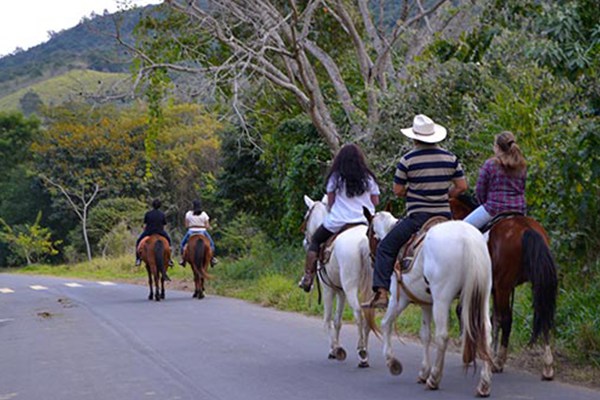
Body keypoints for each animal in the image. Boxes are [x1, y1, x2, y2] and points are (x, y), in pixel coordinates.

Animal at [304, 195, 376, 368]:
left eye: (306, 217)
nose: (305, 241)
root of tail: (363, 242)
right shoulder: (340, 290)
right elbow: (337, 320)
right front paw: (336, 348)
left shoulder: (328, 289)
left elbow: (328, 319)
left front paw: (335, 350)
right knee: (368, 316)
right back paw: (365, 355)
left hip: (350, 287)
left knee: (358, 313)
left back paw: (362, 352)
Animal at [368, 211, 494, 396]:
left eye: (368, 234)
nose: (371, 259)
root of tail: (468, 238)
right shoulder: (426, 304)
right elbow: (425, 335)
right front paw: (423, 372)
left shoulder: (400, 299)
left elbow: (386, 324)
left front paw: (393, 363)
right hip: (482, 295)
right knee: (486, 332)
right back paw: (484, 384)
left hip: (442, 298)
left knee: (442, 336)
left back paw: (434, 379)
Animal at [450, 195, 556, 380]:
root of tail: (526, 228)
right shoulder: (495, 289)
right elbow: (494, 319)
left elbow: (467, 312)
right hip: (535, 281)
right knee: (543, 314)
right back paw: (547, 366)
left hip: (503, 287)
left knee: (508, 320)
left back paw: (498, 362)